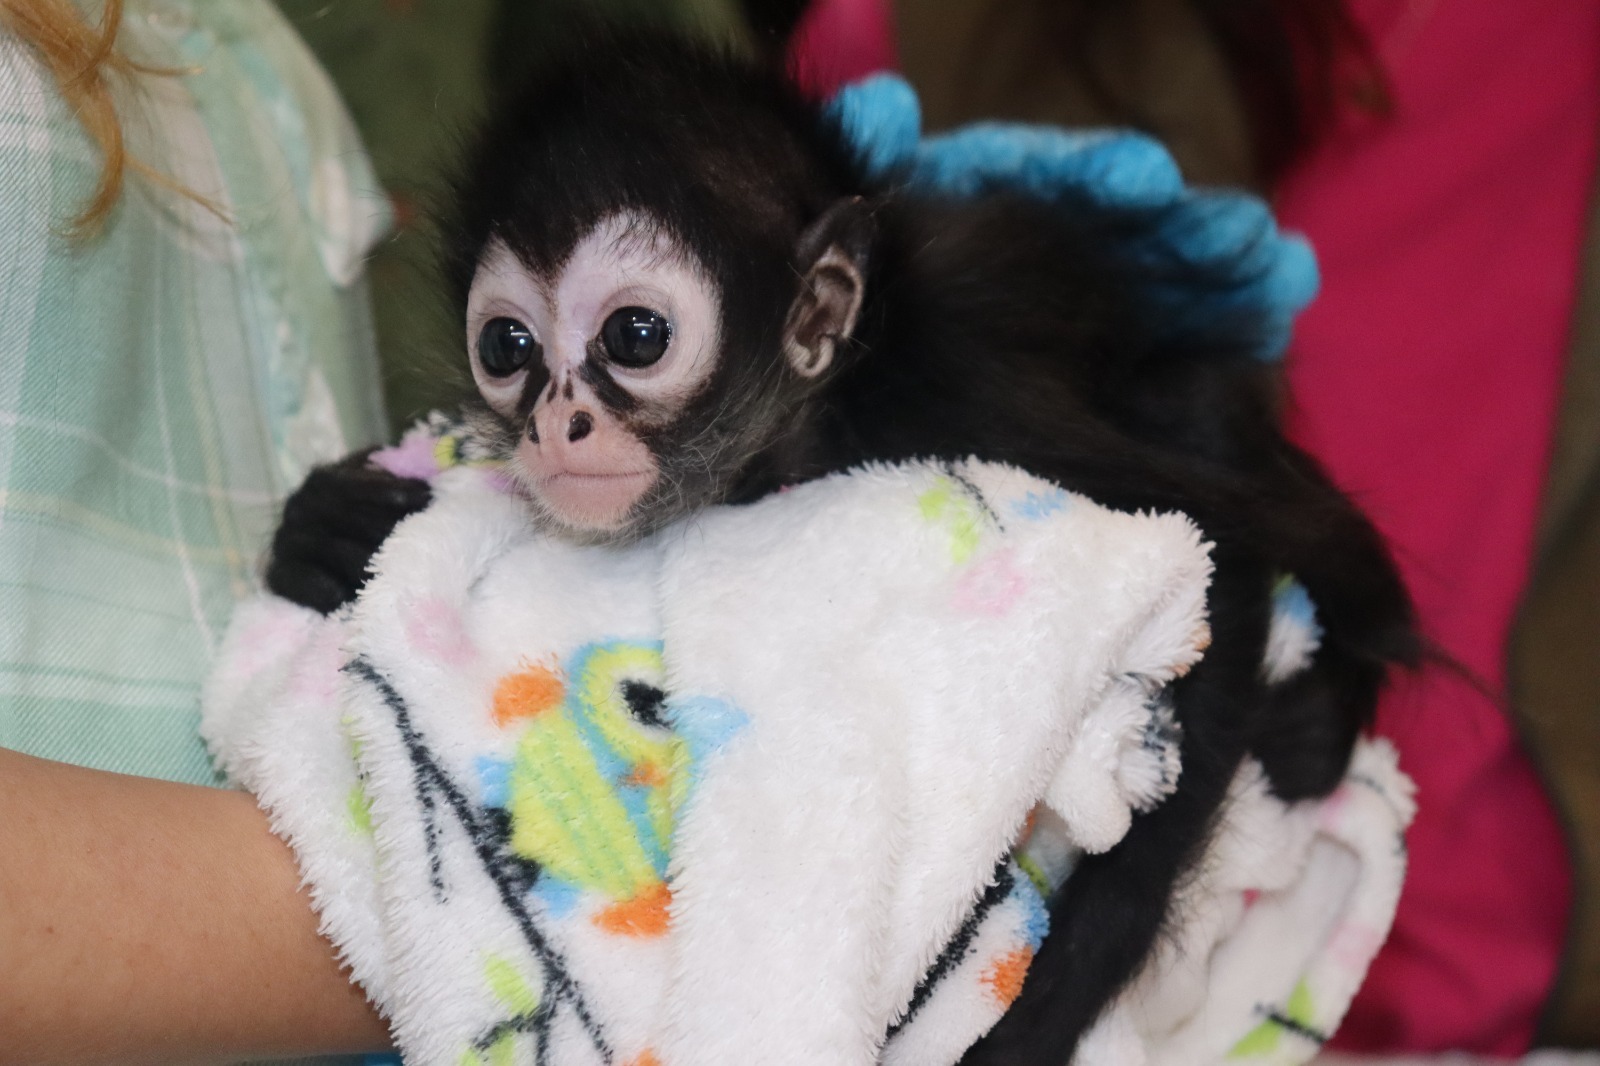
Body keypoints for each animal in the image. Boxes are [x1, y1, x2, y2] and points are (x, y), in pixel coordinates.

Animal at [268, 31, 1420, 1062]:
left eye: (635, 336)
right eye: (507, 347)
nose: (557, 426)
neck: (806, 428)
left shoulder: (963, 392)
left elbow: (1224, 565)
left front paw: (1043, 1016)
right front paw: (327, 529)